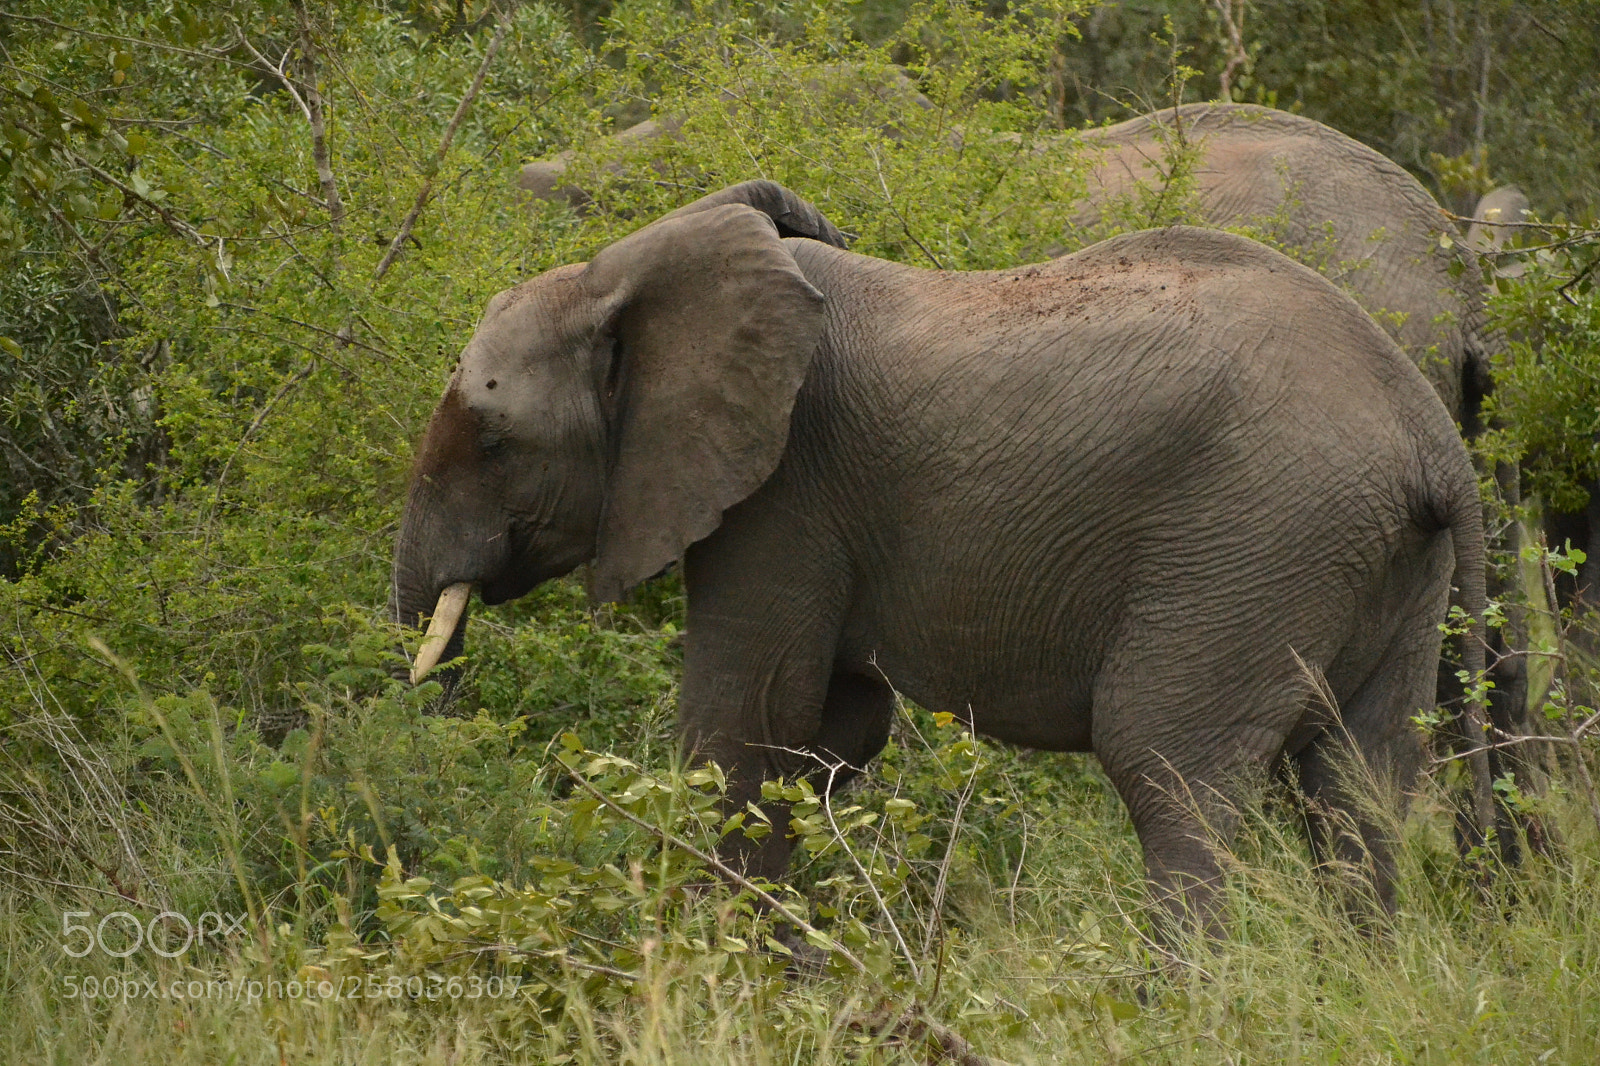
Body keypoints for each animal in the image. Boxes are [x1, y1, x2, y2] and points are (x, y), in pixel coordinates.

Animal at [393, 180, 1489, 936]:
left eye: (492, 439)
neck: (624, 277)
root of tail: (1433, 441)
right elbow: (825, 739)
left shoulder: (783, 496)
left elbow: (746, 731)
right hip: (1377, 566)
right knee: (1357, 787)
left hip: (1250, 545)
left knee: (1170, 770)